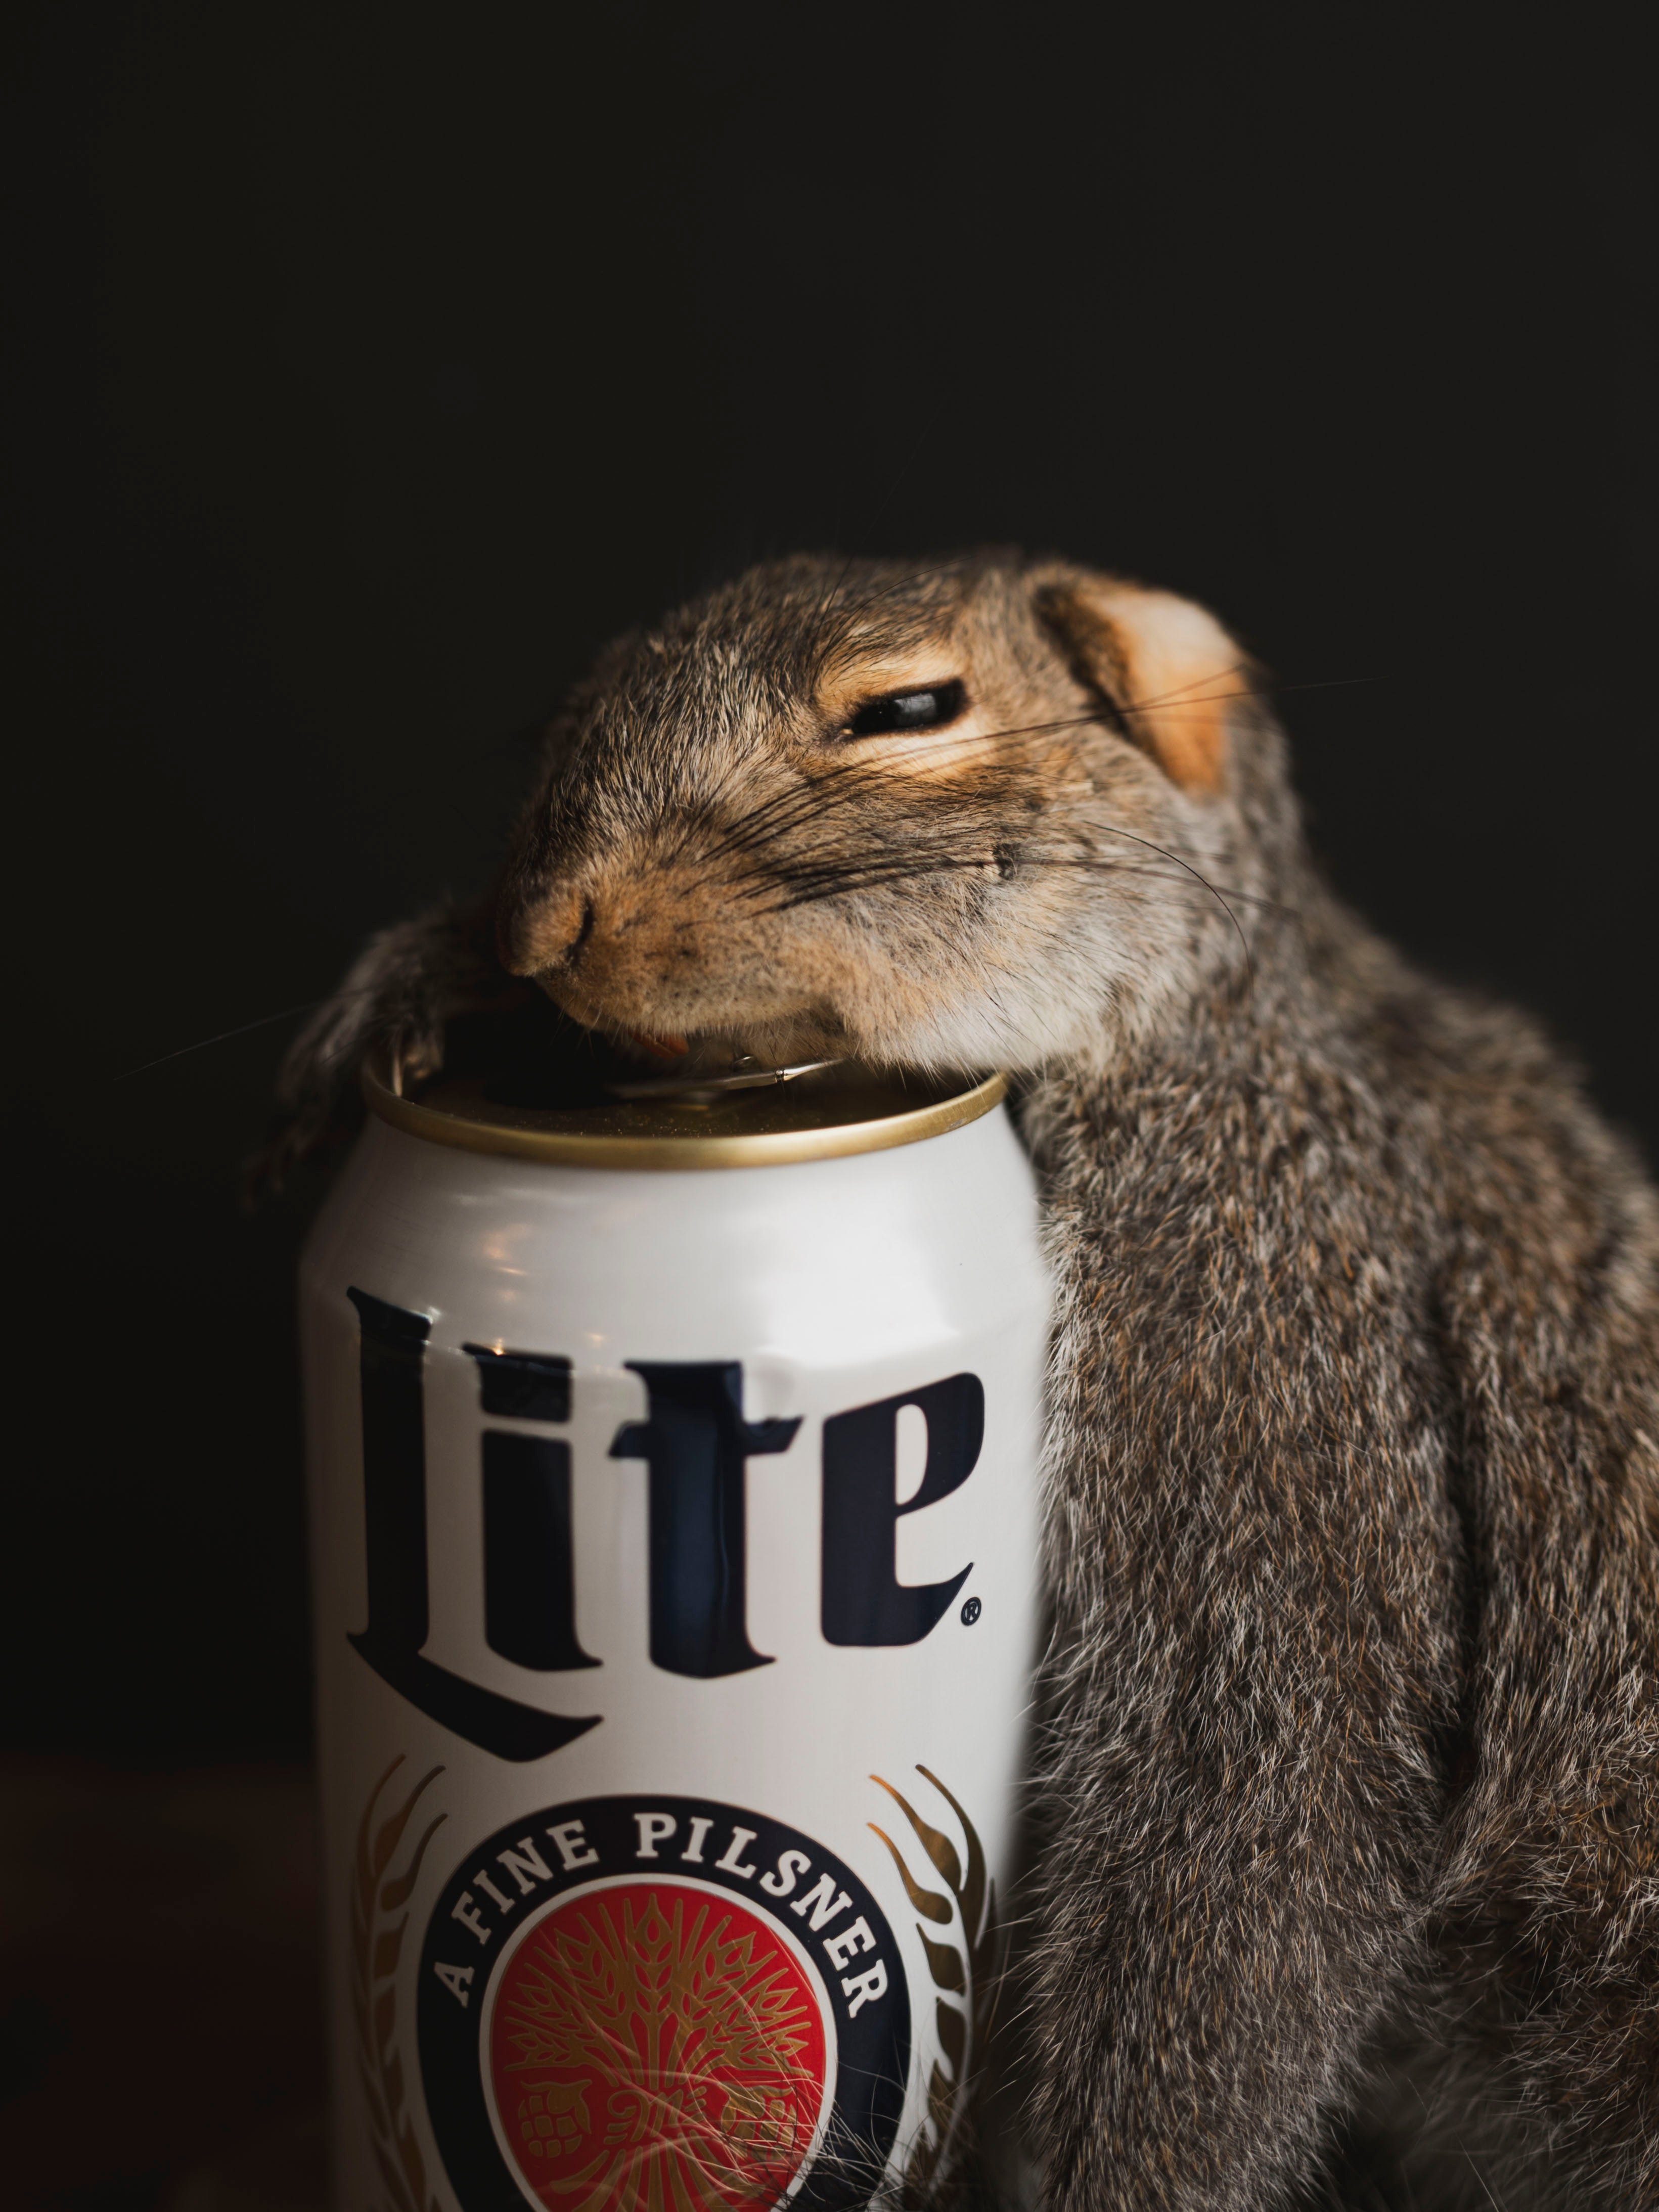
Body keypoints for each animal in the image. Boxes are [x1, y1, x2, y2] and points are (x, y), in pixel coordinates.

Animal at [271, 553, 1659, 2211]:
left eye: (912, 707)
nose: (545, 921)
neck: (1206, 1022)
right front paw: (423, 983)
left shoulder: (1272, 1316)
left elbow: (1252, 1810)